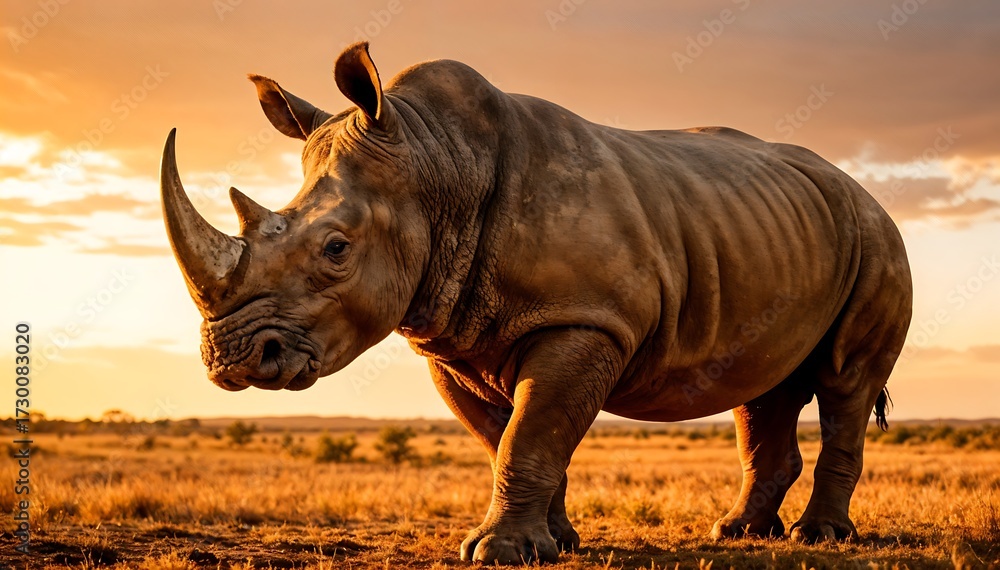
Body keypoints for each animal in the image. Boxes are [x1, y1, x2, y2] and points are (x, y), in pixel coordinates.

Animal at [160, 42, 912, 564]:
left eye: (336, 249)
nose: (229, 358)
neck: (436, 165)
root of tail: (858, 189)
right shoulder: (451, 340)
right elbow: (514, 436)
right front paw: (554, 543)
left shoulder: (584, 319)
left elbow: (532, 430)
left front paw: (497, 553)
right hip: (774, 231)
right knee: (764, 388)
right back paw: (737, 533)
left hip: (878, 238)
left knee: (845, 382)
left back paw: (820, 538)